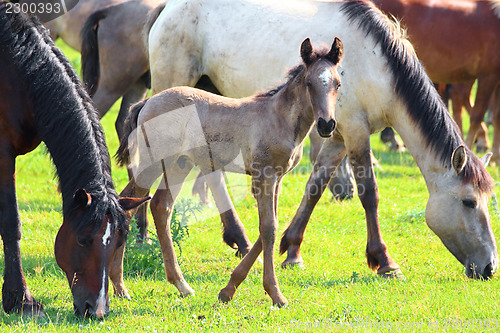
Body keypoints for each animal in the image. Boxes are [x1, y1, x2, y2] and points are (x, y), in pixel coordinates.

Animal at [0, 4, 146, 316]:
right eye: (82, 240)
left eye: (118, 242)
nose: (96, 310)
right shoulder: (4, 157)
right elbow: (11, 222)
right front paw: (21, 299)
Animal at [117, 37, 344, 304]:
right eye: (309, 83)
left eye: (338, 83)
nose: (327, 124)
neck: (279, 117)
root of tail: (146, 103)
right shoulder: (264, 176)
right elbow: (268, 228)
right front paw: (275, 294)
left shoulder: (277, 178)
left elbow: (269, 226)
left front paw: (228, 289)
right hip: (153, 162)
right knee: (127, 202)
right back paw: (120, 287)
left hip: (179, 164)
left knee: (161, 206)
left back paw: (181, 285)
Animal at [143, 0, 498, 302]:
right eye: (468, 202)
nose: (490, 267)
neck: (373, 62)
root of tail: (167, 8)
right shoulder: (355, 131)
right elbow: (369, 193)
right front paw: (384, 260)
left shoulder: (339, 136)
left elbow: (315, 187)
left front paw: (291, 249)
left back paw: (238, 238)